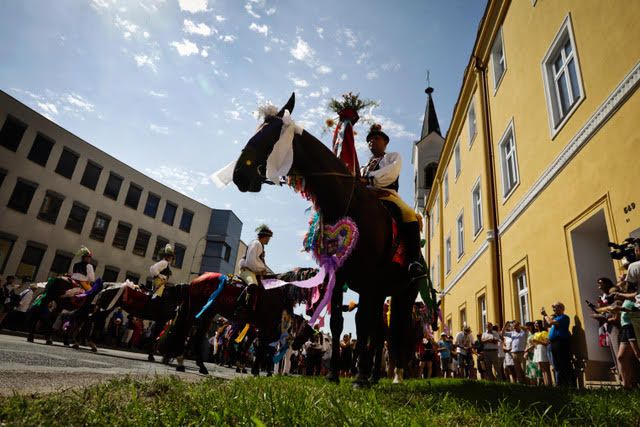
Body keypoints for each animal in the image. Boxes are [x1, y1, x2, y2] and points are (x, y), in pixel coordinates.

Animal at [165, 270, 316, 374]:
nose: (296, 345)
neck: (278, 292)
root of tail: (196, 280)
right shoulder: (265, 328)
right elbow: (262, 349)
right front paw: (256, 371)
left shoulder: (263, 331)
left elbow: (260, 349)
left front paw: (255, 370)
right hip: (195, 310)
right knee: (186, 331)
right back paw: (182, 361)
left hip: (208, 314)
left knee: (196, 338)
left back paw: (201, 366)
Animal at [232, 93, 422, 388]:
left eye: (271, 134)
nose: (239, 174)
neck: (350, 204)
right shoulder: (342, 275)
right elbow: (338, 323)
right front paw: (335, 375)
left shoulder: (368, 282)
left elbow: (361, 324)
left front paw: (358, 377)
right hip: (383, 291)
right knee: (381, 333)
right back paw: (375, 376)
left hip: (404, 293)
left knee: (394, 332)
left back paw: (391, 376)